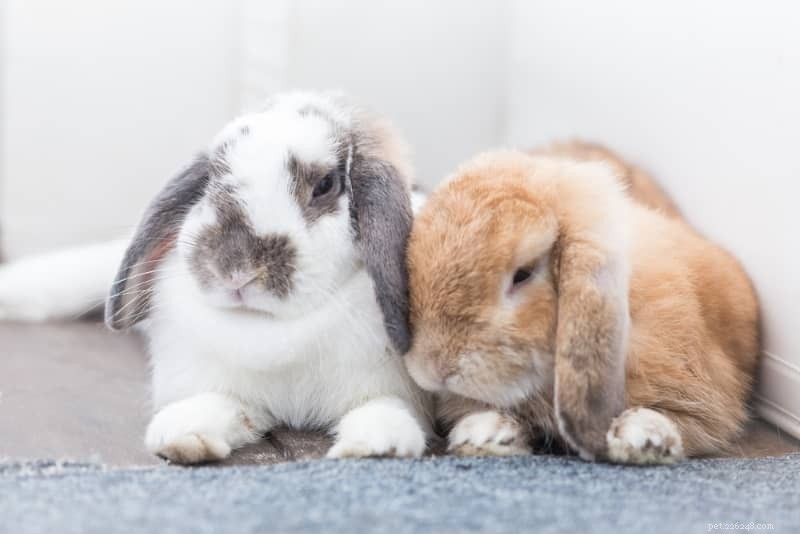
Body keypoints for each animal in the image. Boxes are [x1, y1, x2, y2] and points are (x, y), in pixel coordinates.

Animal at [0, 91, 432, 463]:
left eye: (325, 185)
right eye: (212, 178)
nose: (236, 269)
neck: (272, 328)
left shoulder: (383, 387)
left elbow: (383, 409)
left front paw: (376, 447)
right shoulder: (222, 387)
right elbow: (218, 406)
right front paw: (182, 438)